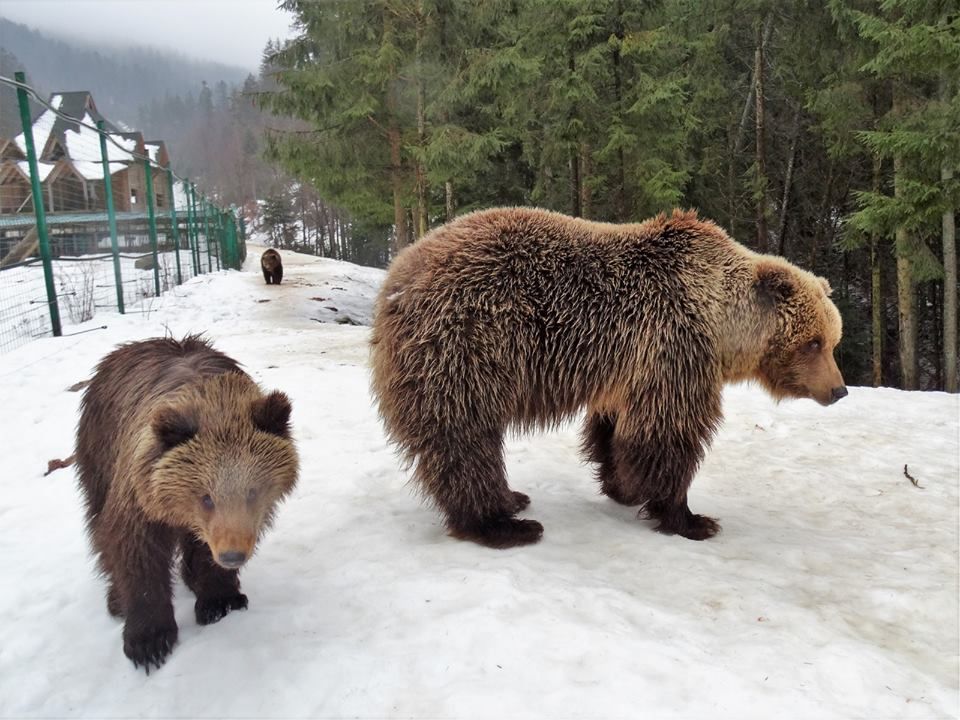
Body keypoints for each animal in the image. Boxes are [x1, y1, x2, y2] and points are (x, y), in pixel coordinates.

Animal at [77, 334, 298, 672]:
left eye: (252, 492)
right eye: (206, 497)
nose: (232, 555)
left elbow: (205, 554)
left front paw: (220, 601)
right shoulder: (139, 499)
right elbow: (135, 553)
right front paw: (149, 641)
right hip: (98, 452)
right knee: (98, 523)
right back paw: (115, 599)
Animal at [372, 205, 844, 548]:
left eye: (833, 339)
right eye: (814, 342)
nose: (839, 389)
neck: (721, 325)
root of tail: (397, 276)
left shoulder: (628, 364)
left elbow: (614, 428)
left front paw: (623, 486)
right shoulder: (675, 346)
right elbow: (668, 434)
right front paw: (690, 518)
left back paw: (513, 499)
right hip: (467, 342)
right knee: (464, 438)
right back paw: (503, 524)